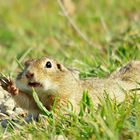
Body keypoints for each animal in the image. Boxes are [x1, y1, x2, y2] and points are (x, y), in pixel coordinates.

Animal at [0, 56, 140, 116]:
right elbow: (28, 102)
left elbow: (60, 109)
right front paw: (9, 85)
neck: (44, 93)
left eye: (48, 64)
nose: (29, 73)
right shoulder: (35, 100)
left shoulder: (65, 99)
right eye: (25, 64)